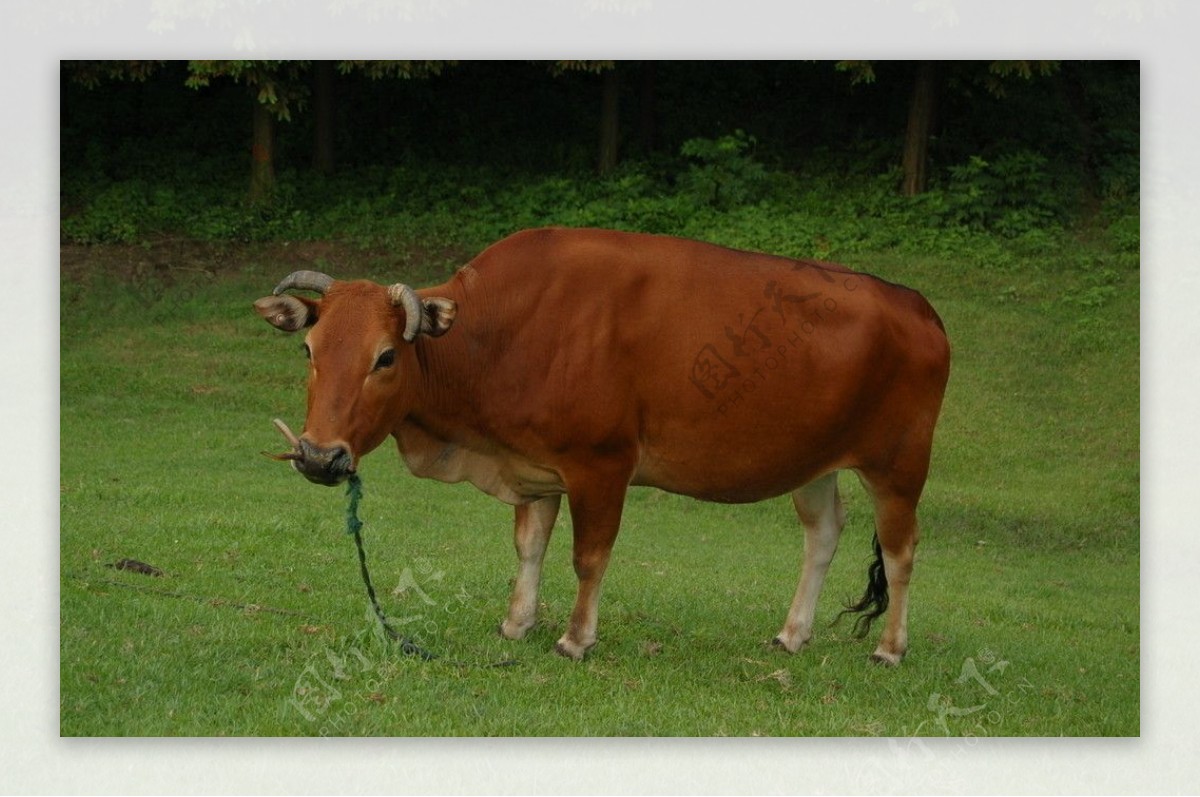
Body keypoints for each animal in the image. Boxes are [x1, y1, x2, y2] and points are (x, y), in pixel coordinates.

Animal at [253, 226, 945, 662]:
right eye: (309, 349)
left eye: (386, 357)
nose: (320, 455)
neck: (499, 336)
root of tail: (917, 306)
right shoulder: (533, 467)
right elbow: (529, 546)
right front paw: (517, 622)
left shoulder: (602, 465)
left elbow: (589, 556)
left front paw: (575, 639)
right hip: (816, 464)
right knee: (823, 534)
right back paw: (792, 634)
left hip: (898, 466)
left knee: (902, 550)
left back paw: (890, 648)